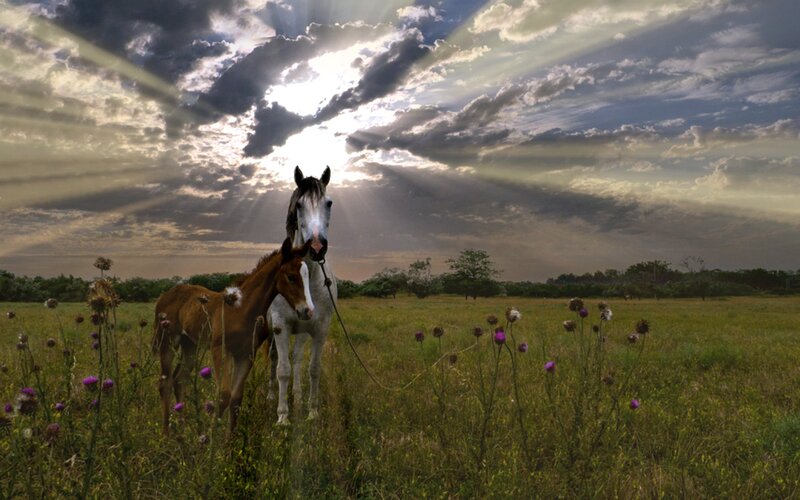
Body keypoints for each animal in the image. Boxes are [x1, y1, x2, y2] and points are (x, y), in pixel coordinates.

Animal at [152, 237, 314, 434]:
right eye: (291, 277)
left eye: (307, 276)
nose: (307, 311)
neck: (242, 310)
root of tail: (163, 296)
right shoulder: (220, 350)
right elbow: (223, 396)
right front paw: (209, 439)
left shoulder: (246, 355)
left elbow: (236, 399)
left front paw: (229, 441)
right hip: (167, 342)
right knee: (165, 383)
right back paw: (166, 433)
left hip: (190, 345)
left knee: (179, 380)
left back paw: (182, 432)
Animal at [266, 166, 338, 425]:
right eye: (299, 205)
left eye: (329, 203)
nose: (316, 247)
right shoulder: (280, 327)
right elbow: (282, 370)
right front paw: (282, 417)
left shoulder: (319, 328)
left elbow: (312, 368)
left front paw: (312, 412)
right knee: (275, 359)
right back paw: (271, 396)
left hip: (303, 333)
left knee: (296, 359)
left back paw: (296, 396)